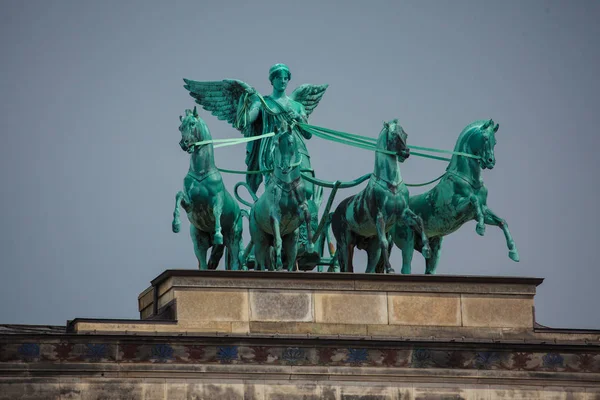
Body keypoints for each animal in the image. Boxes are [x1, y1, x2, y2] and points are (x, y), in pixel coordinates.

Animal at [171, 106, 241, 270]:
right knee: (203, 263)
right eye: (180, 127)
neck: (201, 172)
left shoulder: (217, 199)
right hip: (199, 241)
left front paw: (218, 234)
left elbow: (216, 212)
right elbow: (178, 195)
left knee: (235, 260)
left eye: (192, 124)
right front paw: (176, 225)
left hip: (234, 236)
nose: (184, 143)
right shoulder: (190, 204)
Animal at [247, 123, 314, 270]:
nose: (285, 167)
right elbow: (278, 240)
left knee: (290, 262)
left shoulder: (301, 208)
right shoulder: (275, 215)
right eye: (276, 143)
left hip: (292, 243)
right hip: (260, 242)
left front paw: (310, 245)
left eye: (290, 142)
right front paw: (278, 262)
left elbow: (307, 215)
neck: (287, 185)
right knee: (262, 262)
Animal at [328, 120, 432, 274]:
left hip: (372, 247)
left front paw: (426, 249)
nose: (405, 153)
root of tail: (335, 212)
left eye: (405, 134)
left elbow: (419, 220)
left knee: (369, 268)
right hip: (345, 243)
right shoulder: (380, 216)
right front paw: (389, 269)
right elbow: (384, 242)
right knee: (348, 267)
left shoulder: (403, 213)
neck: (392, 185)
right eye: (393, 134)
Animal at [392, 119, 524, 276]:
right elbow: (473, 200)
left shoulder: (480, 211)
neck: (471, 181)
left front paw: (514, 252)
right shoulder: (457, 209)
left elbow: (502, 221)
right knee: (406, 267)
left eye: (495, 141)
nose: (491, 161)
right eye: (485, 138)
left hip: (433, 249)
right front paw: (481, 228)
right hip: (407, 242)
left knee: (430, 269)